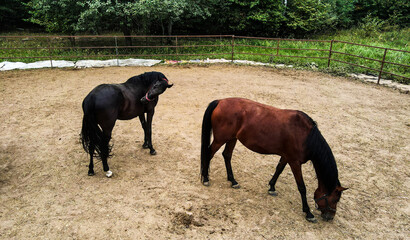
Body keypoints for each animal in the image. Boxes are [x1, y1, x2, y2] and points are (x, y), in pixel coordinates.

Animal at [200, 97, 348, 221]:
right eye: (335, 199)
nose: (330, 217)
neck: (306, 136)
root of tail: (220, 101)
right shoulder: (294, 162)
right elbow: (302, 187)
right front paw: (308, 212)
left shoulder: (286, 157)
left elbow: (278, 170)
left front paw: (271, 187)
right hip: (221, 139)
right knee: (209, 154)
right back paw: (206, 178)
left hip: (232, 139)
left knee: (227, 155)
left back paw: (232, 180)